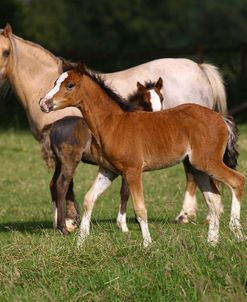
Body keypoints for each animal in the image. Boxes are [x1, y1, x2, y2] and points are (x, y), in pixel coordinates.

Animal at [0, 24, 227, 232]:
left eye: (6, 52)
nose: (44, 103)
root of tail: (200, 68)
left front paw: (75, 221)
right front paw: (72, 221)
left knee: (193, 171)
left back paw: (189, 215)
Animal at [39, 64, 244, 248]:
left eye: (70, 85)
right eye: (55, 82)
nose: (43, 103)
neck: (112, 124)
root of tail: (221, 118)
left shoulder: (133, 171)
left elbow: (139, 208)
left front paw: (147, 244)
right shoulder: (108, 170)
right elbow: (90, 199)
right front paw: (80, 242)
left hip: (207, 161)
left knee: (237, 180)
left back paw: (237, 232)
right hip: (198, 167)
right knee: (214, 200)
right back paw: (212, 242)